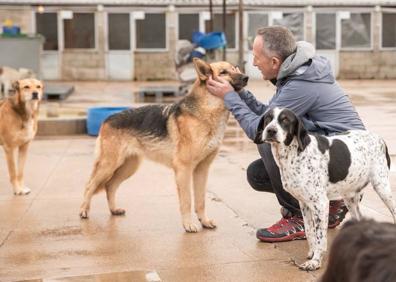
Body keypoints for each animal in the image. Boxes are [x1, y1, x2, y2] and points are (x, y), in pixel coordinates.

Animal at [79, 58, 249, 232]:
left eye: (235, 68)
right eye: (223, 72)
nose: (246, 77)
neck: (206, 111)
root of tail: (107, 119)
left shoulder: (202, 170)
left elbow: (200, 201)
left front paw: (204, 221)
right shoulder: (183, 169)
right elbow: (187, 201)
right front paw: (188, 225)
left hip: (128, 168)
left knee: (110, 186)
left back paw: (113, 210)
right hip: (108, 166)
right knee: (90, 185)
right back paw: (84, 211)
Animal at [255, 107, 394, 270]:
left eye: (285, 120)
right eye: (268, 119)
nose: (270, 130)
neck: (295, 154)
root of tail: (380, 138)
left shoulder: (320, 204)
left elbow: (320, 237)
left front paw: (315, 262)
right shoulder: (304, 204)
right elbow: (310, 232)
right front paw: (312, 253)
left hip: (382, 187)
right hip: (350, 198)